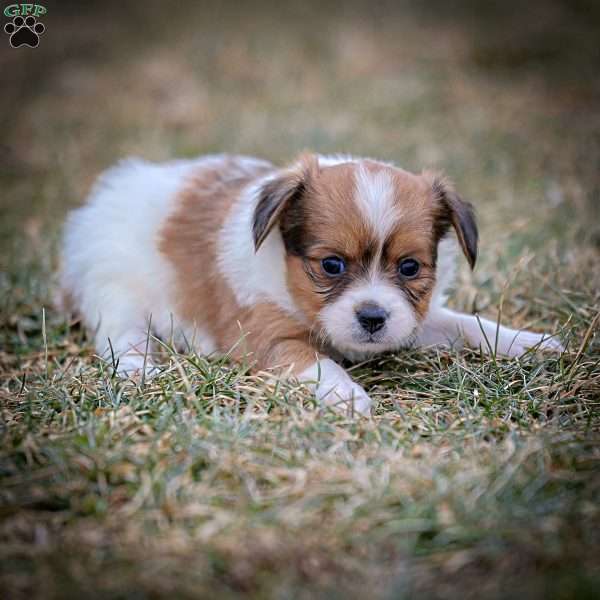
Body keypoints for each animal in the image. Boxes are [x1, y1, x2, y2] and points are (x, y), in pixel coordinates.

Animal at [61, 154, 564, 412]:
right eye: (332, 266)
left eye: (409, 268)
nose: (373, 318)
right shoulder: (266, 335)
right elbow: (311, 358)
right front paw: (345, 392)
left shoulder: (415, 318)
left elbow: (466, 324)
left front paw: (527, 342)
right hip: (117, 289)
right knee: (120, 336)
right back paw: (139, 369)